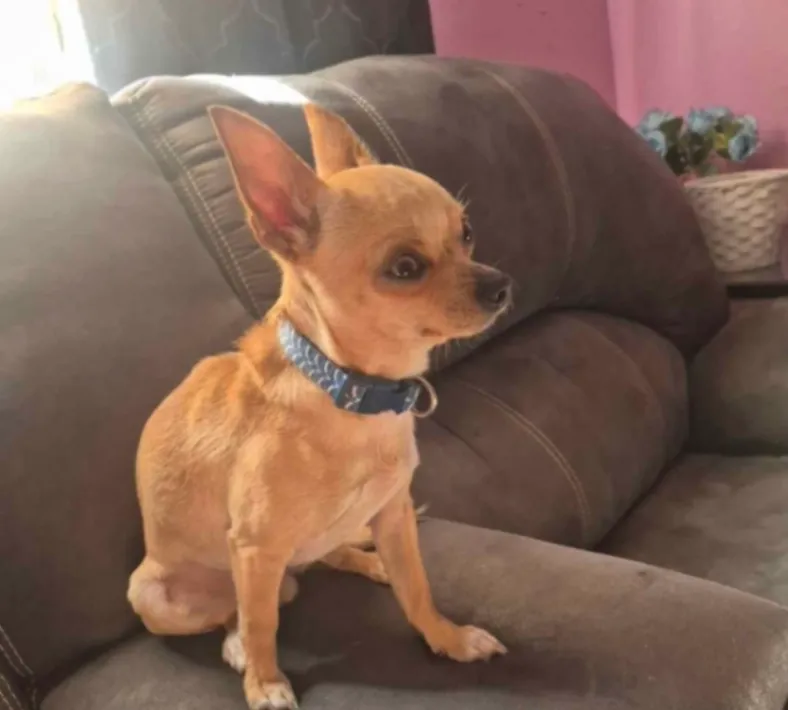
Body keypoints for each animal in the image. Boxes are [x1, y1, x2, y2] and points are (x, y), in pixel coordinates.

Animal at [127, 102, 513, 710]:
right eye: (405, 267)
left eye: (467, 233)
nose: (501, 286)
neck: (351, 392)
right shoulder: (256, 548)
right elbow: (262, 627)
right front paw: (264, 682)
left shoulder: (394, 513)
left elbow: (417, 588)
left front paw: (448, 639)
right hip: (157, 593)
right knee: (239, 611)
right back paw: (236, 643)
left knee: (328, 556)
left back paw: (368, 560)